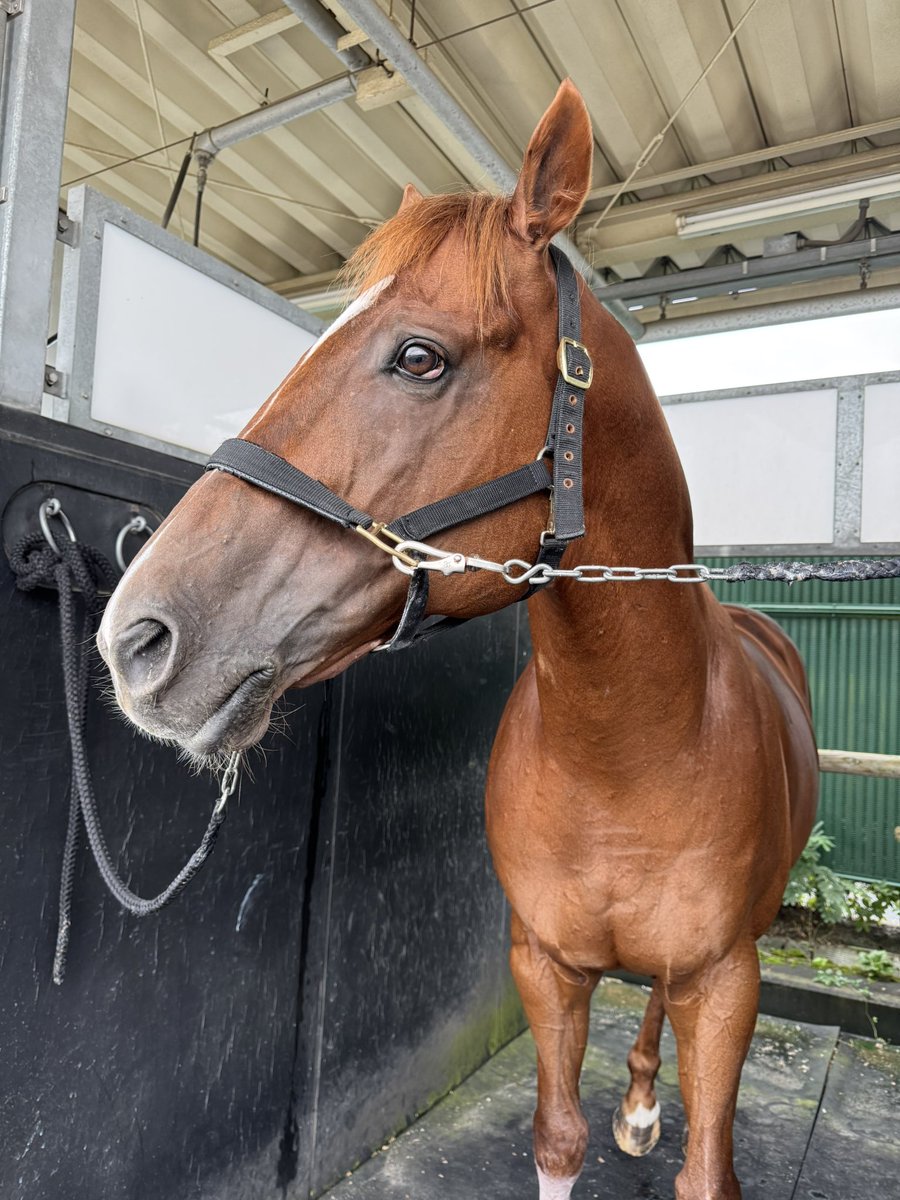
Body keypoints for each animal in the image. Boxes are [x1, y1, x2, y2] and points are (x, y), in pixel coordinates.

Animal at [98, 80, 819, 1200]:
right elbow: (557, 1138)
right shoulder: (542, 964)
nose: (137, 637)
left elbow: (707, 1163)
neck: (632, 750)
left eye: (419, 357)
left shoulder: (728, 980)